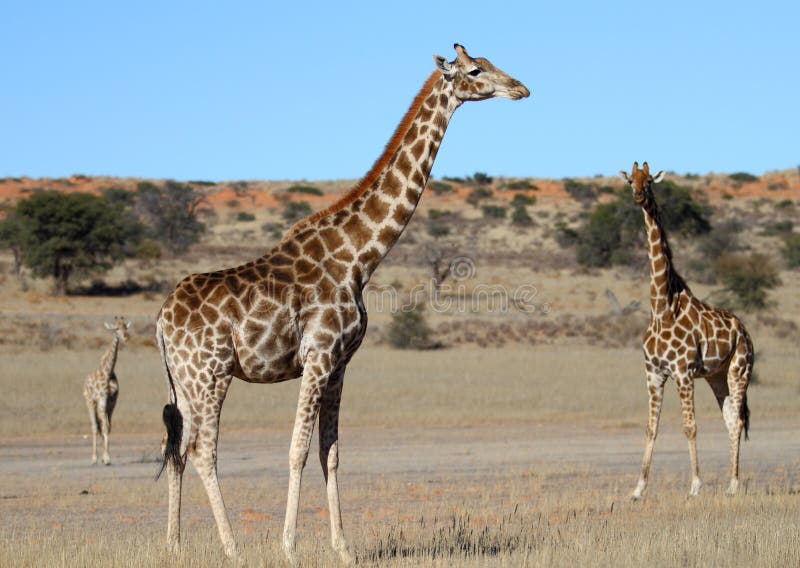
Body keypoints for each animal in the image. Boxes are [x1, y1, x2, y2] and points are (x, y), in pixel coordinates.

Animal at [83, 316, 130, 466]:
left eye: (125, 327)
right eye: (116, 329)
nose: (126, 337)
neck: (108, 372)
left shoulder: (112, 402)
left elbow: (108, 427)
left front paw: (106, 457)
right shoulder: (102, 399)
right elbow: (103, 427)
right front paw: (107, 458)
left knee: (100, 424)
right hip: (90, 402)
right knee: (94, 426)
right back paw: (93, 458)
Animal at [156, 44, 532, 564]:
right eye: (476, 70)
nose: (521, 87)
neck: (360, 257)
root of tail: (160, 321)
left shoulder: (340, 364)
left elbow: (330, 453)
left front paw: (344, 549)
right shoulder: (317, 355)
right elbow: (296, 450)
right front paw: (289, 548)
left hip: (183, 381)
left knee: (176, 447)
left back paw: (173, 547)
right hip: (209, 373)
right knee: (201, 449)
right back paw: (232, 549)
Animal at [620, 162, 756, 500]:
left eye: (649, 180)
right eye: (630, 181)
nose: (638, 196)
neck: (661, 308)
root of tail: (745, 331)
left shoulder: (682, 372)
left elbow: (690, 427)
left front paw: (695, 486)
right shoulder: (653, 373)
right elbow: (651, 427)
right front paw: (638, 489)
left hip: (739, 370)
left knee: (738, 421)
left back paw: (734, 485)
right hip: (716, 376)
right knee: (731, 419)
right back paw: (730, 484)